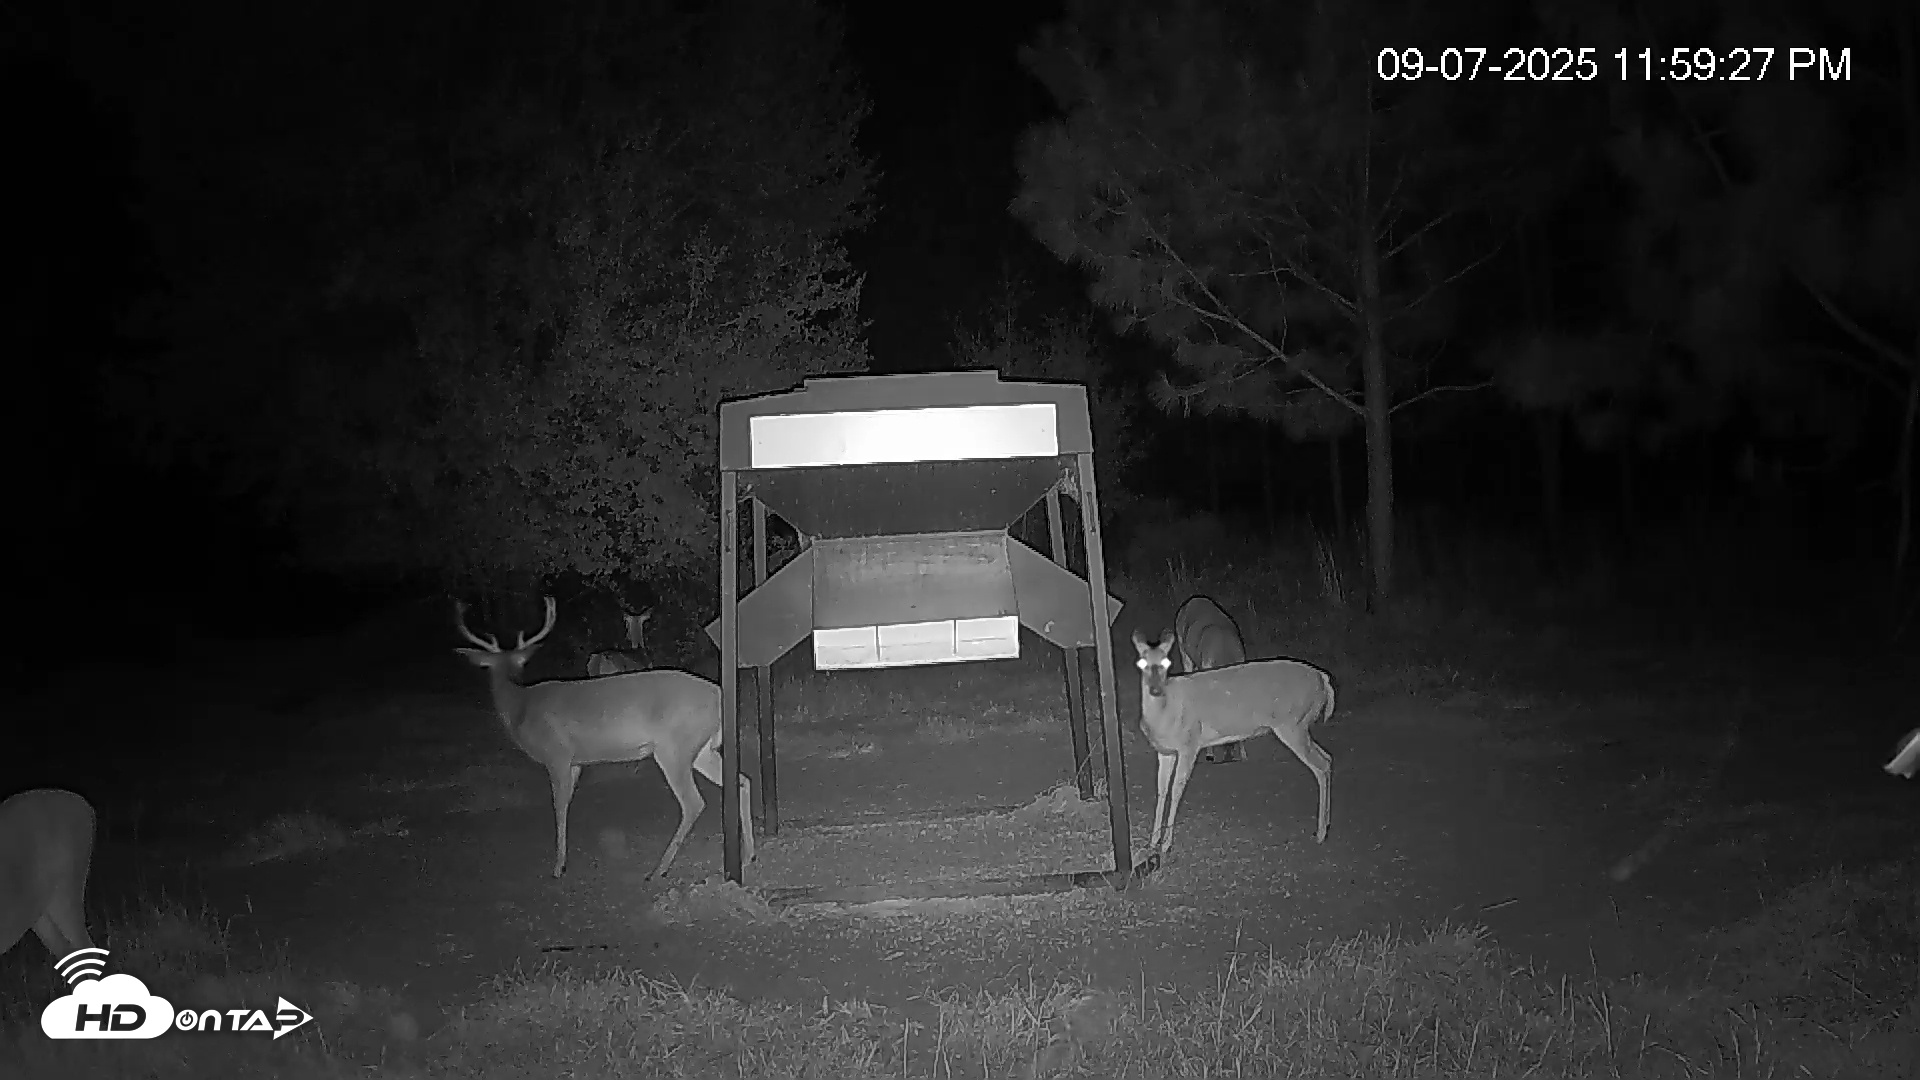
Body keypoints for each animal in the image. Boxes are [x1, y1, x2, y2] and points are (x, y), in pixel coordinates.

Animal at [454, 596, 753, 880]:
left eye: (520, 661)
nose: (515, 675)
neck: (521, 708)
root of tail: (719, 695)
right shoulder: (575, 762)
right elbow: (567, 803)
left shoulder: (556, 754)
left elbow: (558, 806)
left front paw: (558, 867)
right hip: (702, 749)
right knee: (741, 781)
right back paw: (748, 856)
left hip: (674, 746)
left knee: (693, 802)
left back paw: (658, 870)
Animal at [1132, 628, 1334, 858]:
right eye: (1141, 662)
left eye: (1167, 662)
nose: (1155, 690)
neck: (1165, 713)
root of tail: (1324, 679)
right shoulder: (1165, 751)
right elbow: (1161, 790)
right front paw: (1152, 842)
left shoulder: (1189, 743)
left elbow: (1176, 790)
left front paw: (1166, 845)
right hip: (1299, 726)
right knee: (1327, 758)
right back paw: (1325, 826)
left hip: (1293, 723)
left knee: (1321, 765)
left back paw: (1320, 833)